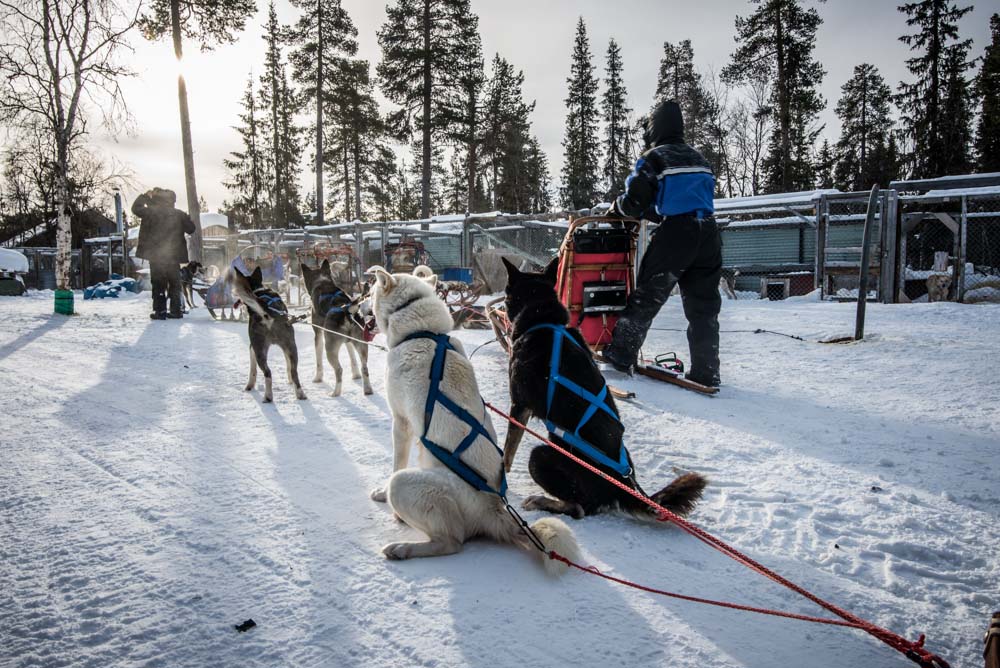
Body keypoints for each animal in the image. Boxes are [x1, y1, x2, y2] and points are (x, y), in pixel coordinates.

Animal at [229, 266, 306, 402]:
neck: (258, 290)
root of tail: (268, 313)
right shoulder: (286, 348)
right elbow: (288, 366)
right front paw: (290, 382)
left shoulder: (252, 347)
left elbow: (252, 370)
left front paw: (249, 386)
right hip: (291, 346)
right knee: (294, 371)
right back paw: (300, 393)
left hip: (259, 349)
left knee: (268, 373)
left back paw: (268, 396)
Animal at [300, 260, 376, 396]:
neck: (322, 283)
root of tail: (346, 309)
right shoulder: (349, 341)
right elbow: (353, 358)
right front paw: (355, 375)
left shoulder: (318, 335)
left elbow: (318, 361)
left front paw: (318, 378)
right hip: (361, 345)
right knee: (364, 367)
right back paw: (367, 389)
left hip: (329, 348)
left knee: (339, 370)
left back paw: (335, 392)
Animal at [368, 268, 580, 576]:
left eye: (370, 291)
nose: (359, 306)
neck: (423, 332)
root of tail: (493, 507)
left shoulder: (402, 423)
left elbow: (396, 461)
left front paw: (381, 494)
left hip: (406, 485)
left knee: (452, 541)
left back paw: (403, 547)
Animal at [498, 258, 704, 520]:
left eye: (506, 299)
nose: (502, 308)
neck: (543, 319)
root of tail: (624, 486)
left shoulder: (519, 405)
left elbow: (507, 451)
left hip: (541, 456)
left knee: (580, 508)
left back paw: (541, 501)